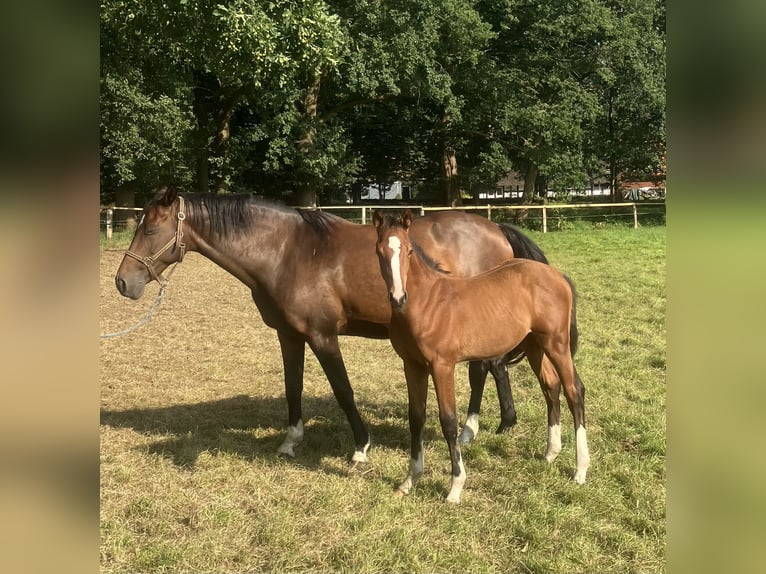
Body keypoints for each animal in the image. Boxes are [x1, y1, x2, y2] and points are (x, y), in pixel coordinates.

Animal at [114, 189, 548, 468]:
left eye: (149, 230)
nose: (122, 282)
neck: (288, 252)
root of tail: (496, 230)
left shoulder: (323, 336)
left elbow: (343, 390)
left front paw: (360, 447)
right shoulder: (289, 335)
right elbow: (293, 386)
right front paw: (291, 441)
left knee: (484, 369)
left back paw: (471, 430)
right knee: (494, 368)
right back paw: (499, 424)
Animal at [376, 212, 592, 504]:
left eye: (409, 251)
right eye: (379, 251)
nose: (398, 298)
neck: (428, 302)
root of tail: (558, 276)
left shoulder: (442, 366)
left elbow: (448, 421)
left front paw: (455, 487)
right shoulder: (412, 365)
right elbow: (416, 418)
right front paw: (409, 482)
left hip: (556, 343)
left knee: (574, 390)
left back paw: (580, 470)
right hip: (534, 344)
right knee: (550, 385)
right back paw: (551, 453)